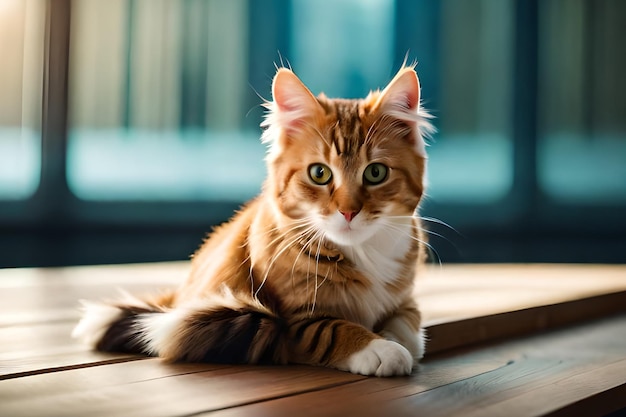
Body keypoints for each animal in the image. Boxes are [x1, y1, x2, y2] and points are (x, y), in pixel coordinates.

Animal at [72, 65, 434, 376]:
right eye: (319, 173)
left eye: (375, 173)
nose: (348, 211)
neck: (361, 253)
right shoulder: (293, 322)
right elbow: (335, 328)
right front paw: (381, 348)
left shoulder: (406, 296)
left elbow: (408, 321)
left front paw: (395, 338)